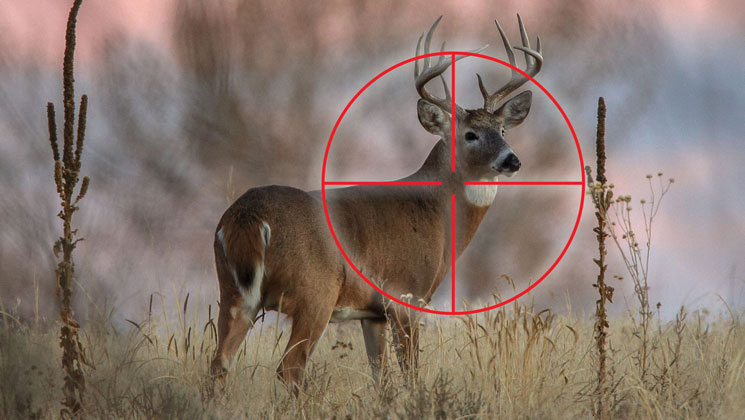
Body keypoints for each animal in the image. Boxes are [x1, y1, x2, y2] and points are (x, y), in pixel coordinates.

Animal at [209, 15, 543, 390]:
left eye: (502, 131)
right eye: (470, 135)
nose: (511, 160)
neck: (438, 213)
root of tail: (248, 217)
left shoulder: (373, 313)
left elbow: (381, 381)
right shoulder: (407, 296)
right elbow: (411, 376)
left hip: (233, 293)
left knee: (219, 363)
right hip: (315, 293)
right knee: (290, 367)